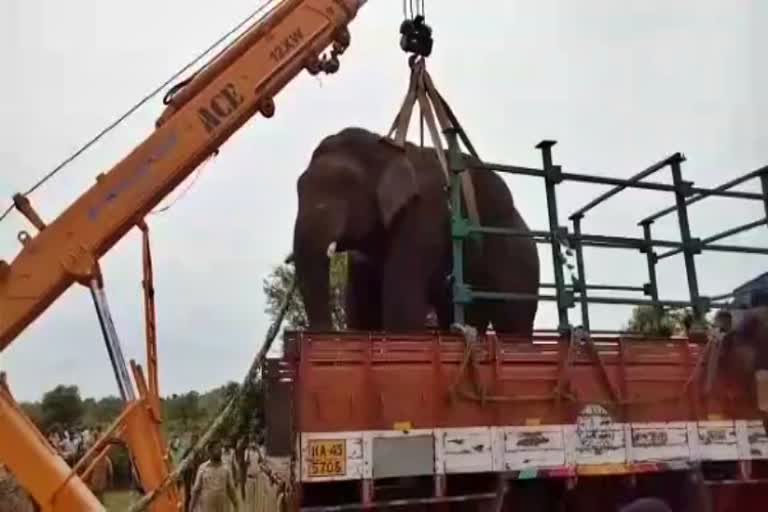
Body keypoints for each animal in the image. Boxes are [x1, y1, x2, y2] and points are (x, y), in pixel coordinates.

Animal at [292, 127, 540, 336]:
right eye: (299, 187)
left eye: (346, 185)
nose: (321, 333)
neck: (389, 148)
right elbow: (362, 309)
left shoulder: (423, 215)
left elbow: (402, 304)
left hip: (518, 252)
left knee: (513, 321)